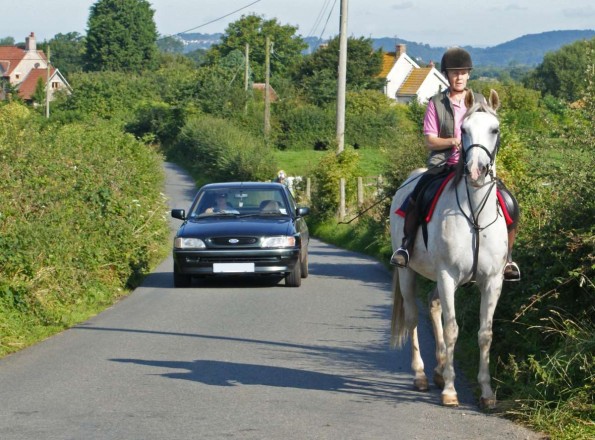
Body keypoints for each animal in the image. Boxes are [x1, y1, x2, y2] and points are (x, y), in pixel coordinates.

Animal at [392, 89, 508, 410]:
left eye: (494, 130)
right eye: (463, 130)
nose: (476, 171)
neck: (475, 216)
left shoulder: (493, 281)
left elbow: (485, 334)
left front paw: (486, 393)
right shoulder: (447, 276)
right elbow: (453, 328)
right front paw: (450, 391)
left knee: (432, 306)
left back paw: (439, 369)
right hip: (408, 273)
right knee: (413, 316)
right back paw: (421, 375)